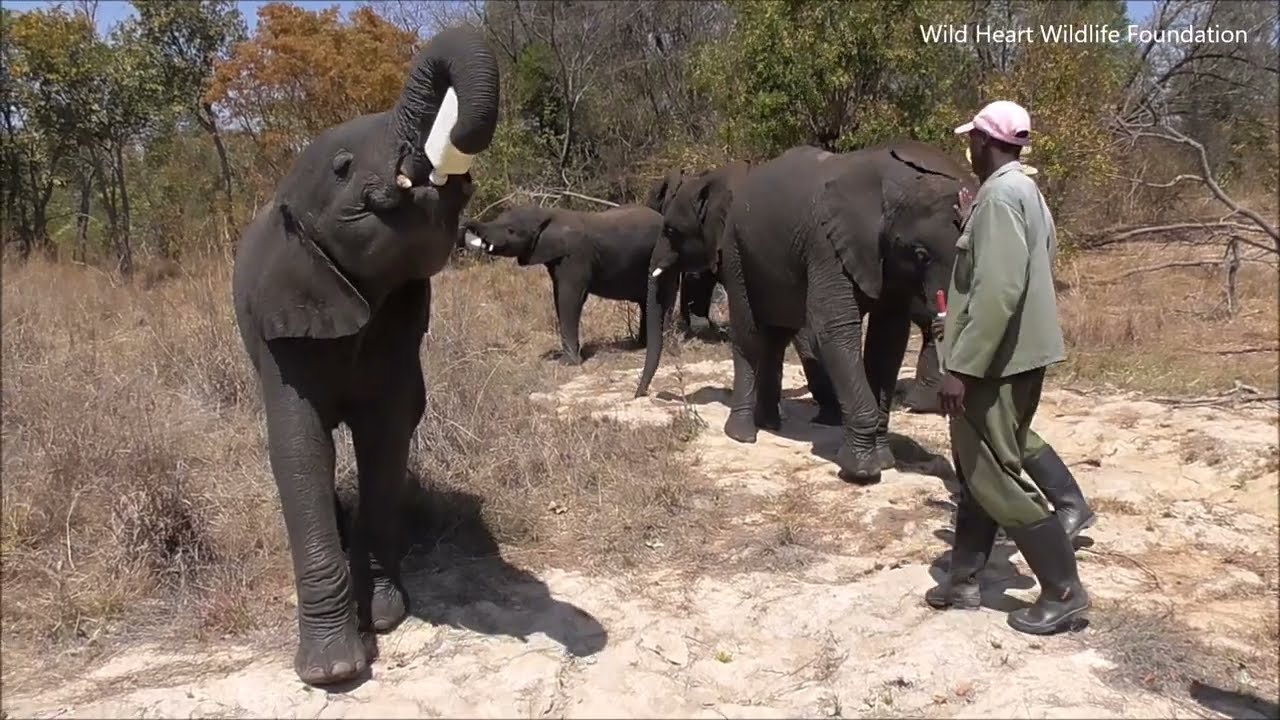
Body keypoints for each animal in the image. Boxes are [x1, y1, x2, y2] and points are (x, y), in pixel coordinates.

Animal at [230, 27, 499, 686]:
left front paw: (382, 615)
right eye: (344, 168)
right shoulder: (281, 334)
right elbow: (299, 449)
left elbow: (385, 436)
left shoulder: (398, 325)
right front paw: (332, 673)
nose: (440, 158)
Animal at [461, 204, 665, 364]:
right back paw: (641, 344)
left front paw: (568, 363)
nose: (463, 223)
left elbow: (569, 298)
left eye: (511, 230)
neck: (546, 213)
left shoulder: (575, 256)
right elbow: (558, 296)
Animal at [717, 140, 975, 482]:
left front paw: (885, 461)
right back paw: (743, 434)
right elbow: (834, 329)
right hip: (735, 249)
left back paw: (770, 424)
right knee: (750, 337)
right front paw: (862, 471)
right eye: (920, 255)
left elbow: (887, 340)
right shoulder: (826, 244)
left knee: (777, 336)